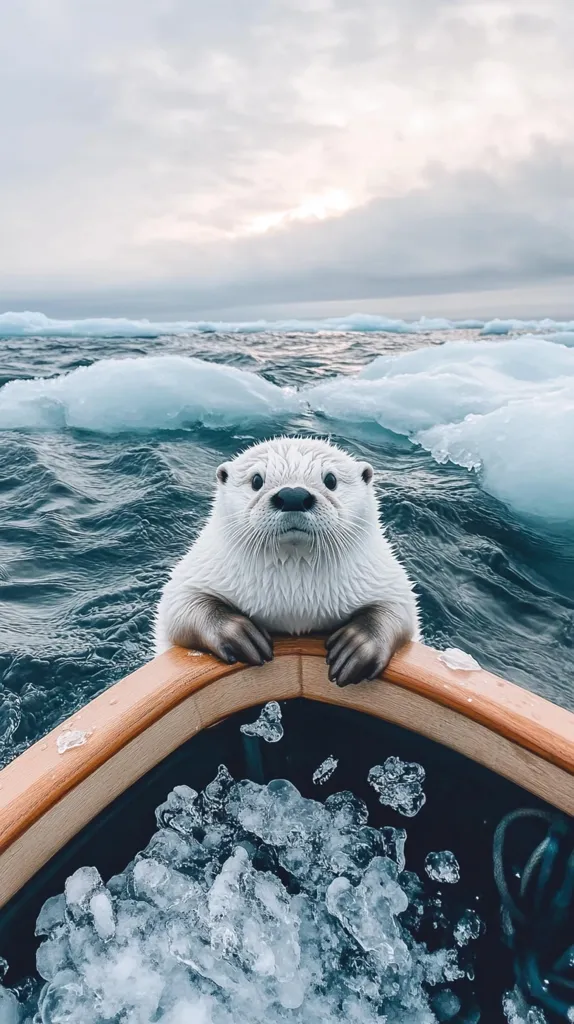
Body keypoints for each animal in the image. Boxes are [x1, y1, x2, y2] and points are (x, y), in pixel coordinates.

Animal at [154, 437, 419, 686]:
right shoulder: (200, 568)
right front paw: (239, 634)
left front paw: (357, 646)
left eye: (330, 479)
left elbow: (400, 610)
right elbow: (179, 607)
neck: (294, 601)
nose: (293, 495)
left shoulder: (383, 574)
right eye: (256, 480)